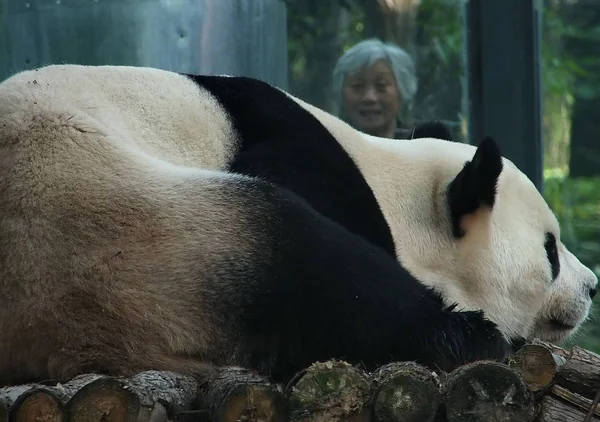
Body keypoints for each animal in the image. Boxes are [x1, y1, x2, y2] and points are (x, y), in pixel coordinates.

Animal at [0, 64, 596, 388]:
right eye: (550, 251)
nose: (592, 286)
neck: (393, 188)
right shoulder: (304, 160)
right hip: (126, 222)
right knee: (311, 266)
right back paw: (469, 335)